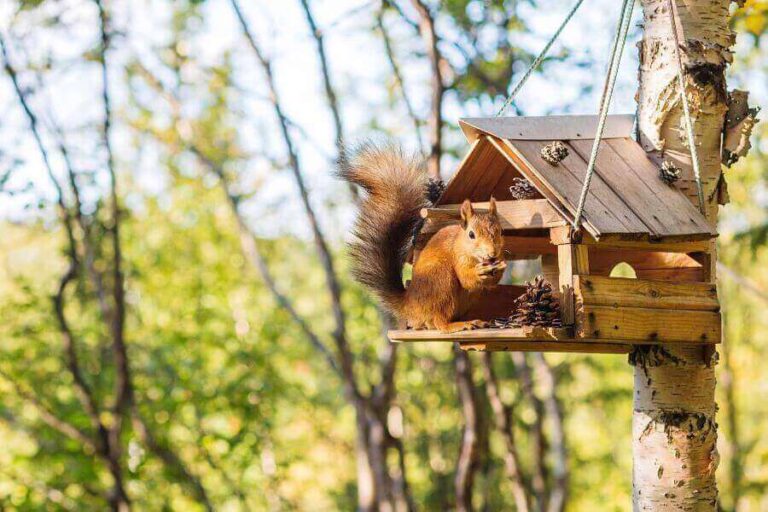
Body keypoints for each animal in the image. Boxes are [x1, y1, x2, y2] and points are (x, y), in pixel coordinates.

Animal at [339, 143, 506, 333]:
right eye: (471, 234)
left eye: (501, 231)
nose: (492, 253)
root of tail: (410, 304)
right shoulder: (457, 255)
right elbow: (466, 279)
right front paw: (479, 272)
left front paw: (500, 267)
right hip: (440, 280)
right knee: (439, 322)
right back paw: (458, 324)